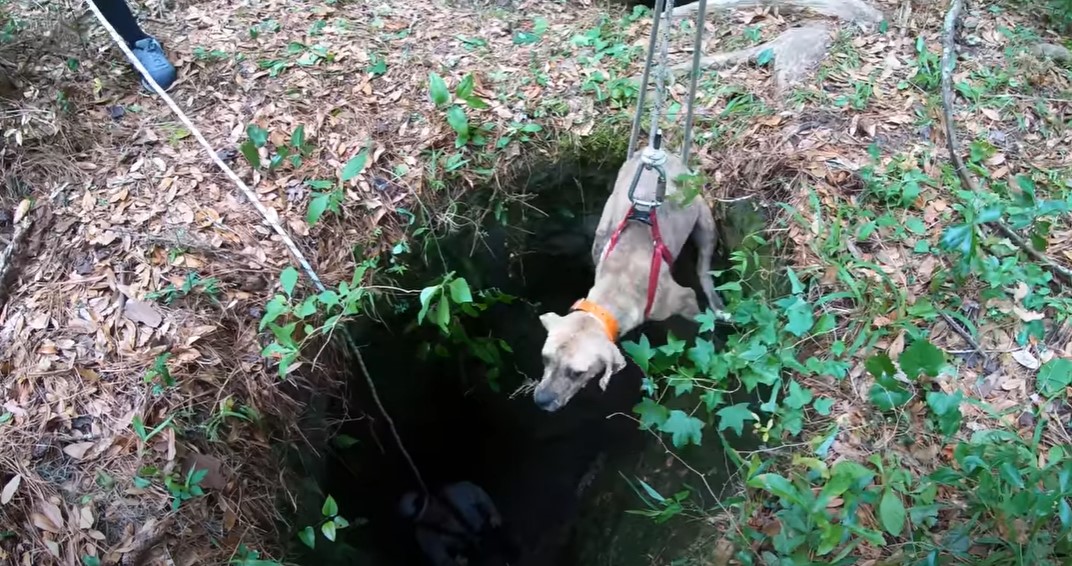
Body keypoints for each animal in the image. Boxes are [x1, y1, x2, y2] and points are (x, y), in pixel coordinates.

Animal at [531, 146, 724, 411]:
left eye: (578, 373)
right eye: (545, 358)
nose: (541, 400)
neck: (616, 288)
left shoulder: (685, 299)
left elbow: (700, 322)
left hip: (704, 220)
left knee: (704, 269)